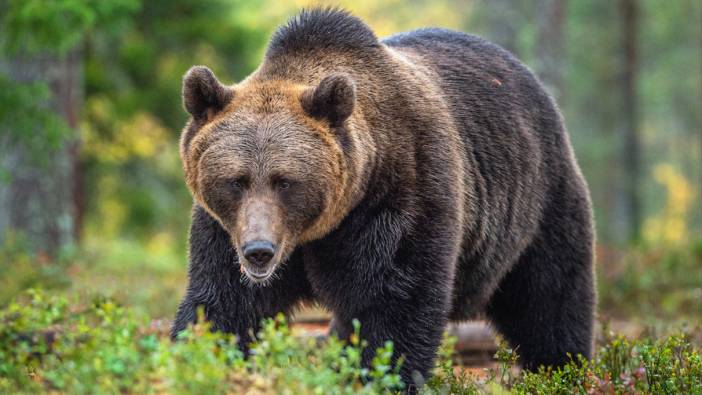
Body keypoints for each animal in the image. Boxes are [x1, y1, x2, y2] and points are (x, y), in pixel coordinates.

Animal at [170, 6, 592, 390]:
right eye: (236, 181)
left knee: (549, 296)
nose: (259, 251)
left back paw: (562, 368)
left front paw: (379, 375)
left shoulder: (401, 195)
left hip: (538, 200)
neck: (316, 230)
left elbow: (395, 302)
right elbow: (223, 302)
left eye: (285, 181)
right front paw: (198, 360)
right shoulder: (224, 229)